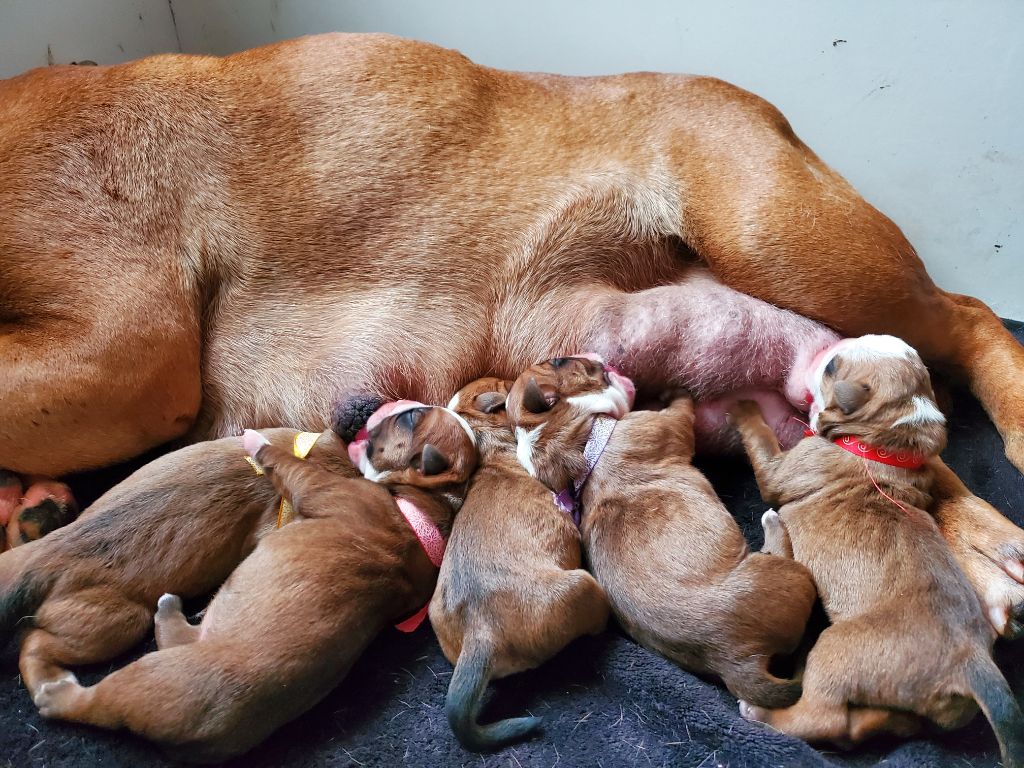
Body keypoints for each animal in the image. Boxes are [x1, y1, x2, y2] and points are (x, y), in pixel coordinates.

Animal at [33, 409, 479, 765]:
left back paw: (56, 694)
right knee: (172, 632)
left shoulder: (318, 486)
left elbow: (283, 462)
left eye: (409, 419)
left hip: (150, 678)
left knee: (97, 701)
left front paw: (255, 442)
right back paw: (170, 609)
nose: (365, 412)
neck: (430, 506)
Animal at [507, 358, 819, 712]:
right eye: (559, 362)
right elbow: (681, 407)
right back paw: (772, 523)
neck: (583, 442)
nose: (603, 359)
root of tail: (736, 664)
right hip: (786, 574)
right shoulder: (668, 423)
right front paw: (676, 390)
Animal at [729, 335, 1024, 768]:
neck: (880, 442)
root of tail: (972, 663)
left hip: (835, 649)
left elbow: (761, 439)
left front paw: (743, 406)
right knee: (867, 725)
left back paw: (761, 713)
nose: (827, 343)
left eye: (832, 366)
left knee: (820, 717)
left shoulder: (781, 468)